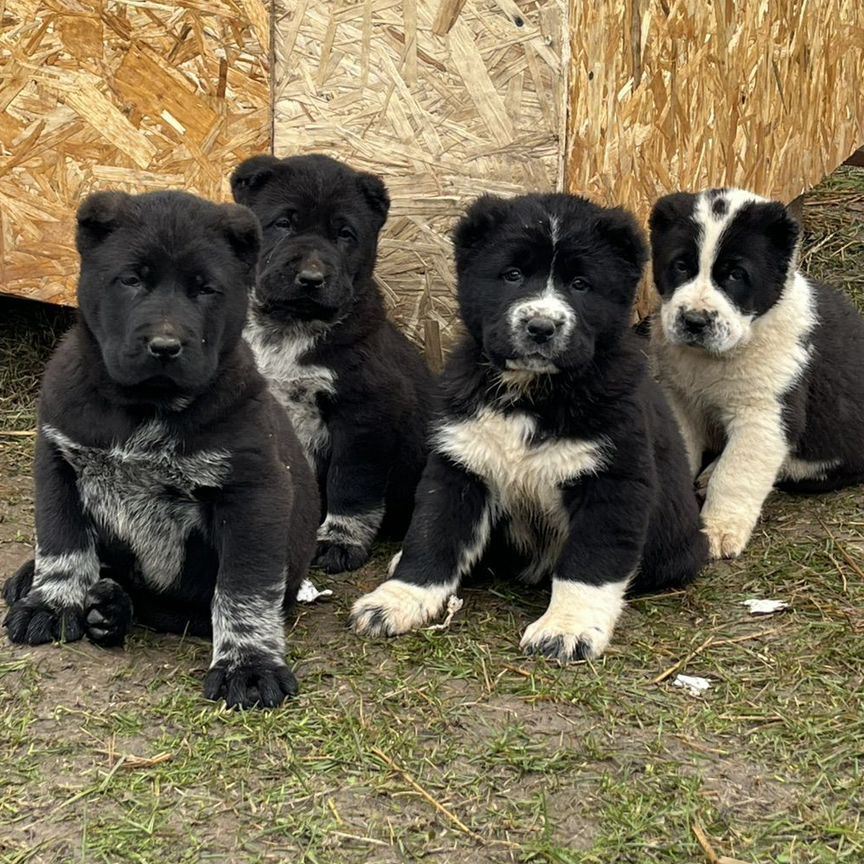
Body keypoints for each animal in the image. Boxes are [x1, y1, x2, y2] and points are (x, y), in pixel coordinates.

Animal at [3, 191, 320, 708]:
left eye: (205, 289)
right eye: (132, 280)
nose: (165, 346)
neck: (145, 408)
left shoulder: (254, 493)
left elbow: (244, 587)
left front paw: (248, 664)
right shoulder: (58, 459)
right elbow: (62, 540)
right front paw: (51, 602)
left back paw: (111, 609)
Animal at [231, 153, 436, 576]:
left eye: (345, 234)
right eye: (283, 223)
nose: (311, 278)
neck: (289, 326)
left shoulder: (367, 413)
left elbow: (351, 485)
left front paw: (339, 542)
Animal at [348, 192, 704, 660]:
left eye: (580, 284)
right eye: (512, 275)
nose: (540, 327)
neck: (531, 394)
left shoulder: (613, 481)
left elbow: (589, 562)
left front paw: (567, 628)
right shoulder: (460, 463)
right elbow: (433, 535)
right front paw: (398, 599)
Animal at [648, 187, 864, 560]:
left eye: (736, 274)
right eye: (681, 266)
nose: (694, 321)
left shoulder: (763, 415)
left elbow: (737, 472)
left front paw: (719, 530)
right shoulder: (679, 398)